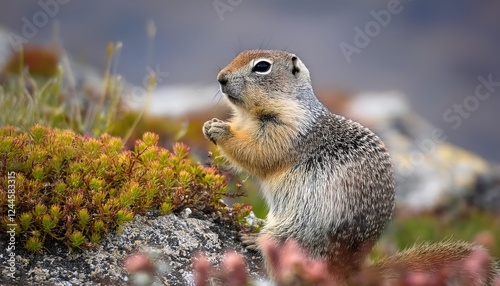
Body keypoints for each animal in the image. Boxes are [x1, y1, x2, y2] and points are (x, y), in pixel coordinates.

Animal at [202, 49, 496, 284]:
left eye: (262, 66)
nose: (220, 78)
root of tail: (351, 271)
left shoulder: (287, 130)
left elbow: (260, 151)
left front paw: (220, 130)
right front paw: (210, 125)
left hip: (298, 230)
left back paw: (255, 241)